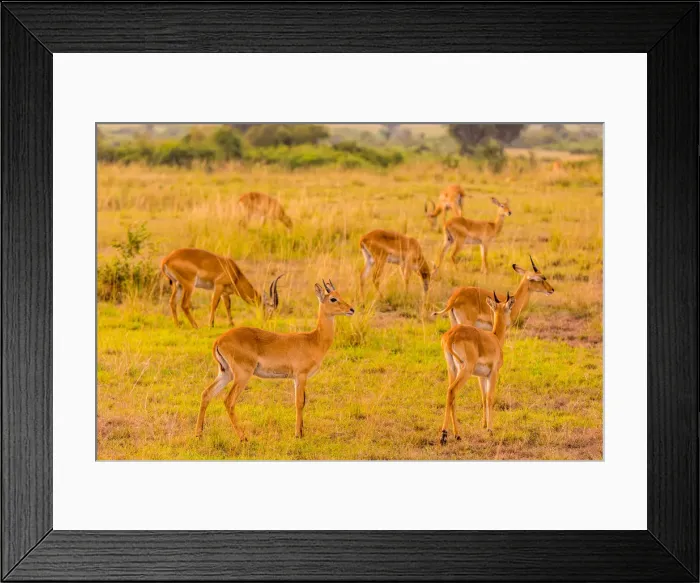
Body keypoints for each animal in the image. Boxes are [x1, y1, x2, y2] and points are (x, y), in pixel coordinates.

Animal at [195, 280, 354, 440]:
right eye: (333, 298)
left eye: (339, 294)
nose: (351, 309)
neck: (314, 340)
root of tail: (219, 340)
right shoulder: (301, 375)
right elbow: (299, 403)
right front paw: (297, 434)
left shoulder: (295, 378)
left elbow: (302, 401)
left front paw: (301, 432)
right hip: (242, 375)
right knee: (229, 401)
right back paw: (243, 437)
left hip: (225, 373)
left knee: (206, 393)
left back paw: (199, 434)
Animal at [440, 291, 516, 442]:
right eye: (509, 308)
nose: (510, 322)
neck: (494, 338)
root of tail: (451, 336)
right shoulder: (493, 373)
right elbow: (490, 398)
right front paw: (490, 429)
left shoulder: (482, 376)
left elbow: (483, 397)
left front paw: (484, 425)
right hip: (465, 370)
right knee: (452, 391)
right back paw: (444, 435)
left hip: (452, 369)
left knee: (451, 395)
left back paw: (457, 435)